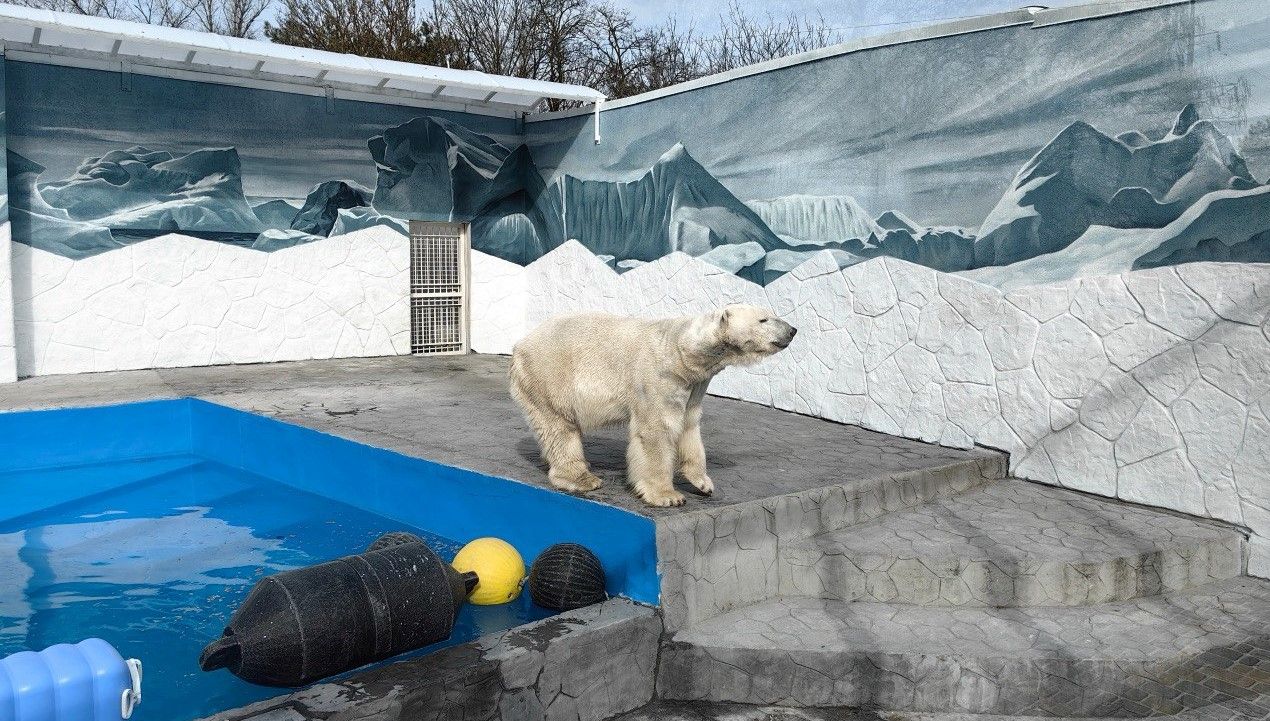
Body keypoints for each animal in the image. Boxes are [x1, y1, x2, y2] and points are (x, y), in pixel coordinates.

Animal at [505, 304, 792, 507]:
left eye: (771, 314)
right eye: (764, 319)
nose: (792, 330)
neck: (682, 350)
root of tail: (519, 345)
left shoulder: (694, 385)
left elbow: (689, 426)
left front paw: (703, 483)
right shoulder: (657, 377)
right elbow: (656, 431)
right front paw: (667, 495)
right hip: (550, 374)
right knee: (559, 426)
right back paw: (581, 478)